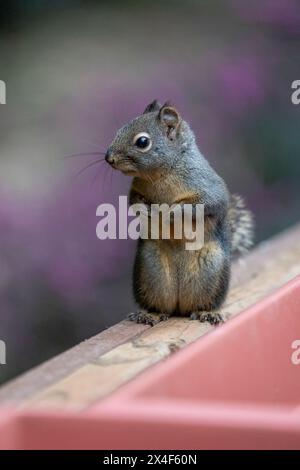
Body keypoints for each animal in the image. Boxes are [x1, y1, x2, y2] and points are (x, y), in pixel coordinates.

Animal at [105, 100, 253, 324]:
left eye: (142, 142)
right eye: (119, 130)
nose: (109, 158)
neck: (161, 174)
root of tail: (179, 306)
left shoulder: (207, 187)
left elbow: (205, 204)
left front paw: (169, 212)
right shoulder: (136, 188)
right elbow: (133, 201)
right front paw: (143, 209)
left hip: (211, 271)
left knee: (202, 302)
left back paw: (206, 312)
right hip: (150, 270)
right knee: (160, 304)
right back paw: (150, 314)